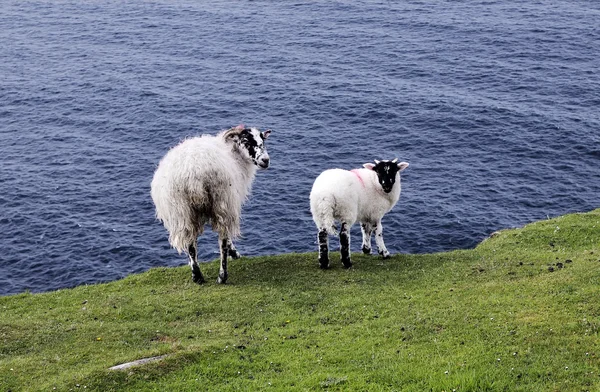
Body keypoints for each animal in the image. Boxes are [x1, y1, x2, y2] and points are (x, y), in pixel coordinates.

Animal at [150, 124, 272, 284]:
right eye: (246, 141)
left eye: (263, 140)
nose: (266, 160)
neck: (235, 155)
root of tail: (192, 174)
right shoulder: (230, 204)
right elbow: (227, 240)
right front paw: (235, 254)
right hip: (222, 202)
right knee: (223, 241)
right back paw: (222, 276)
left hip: (181, 211)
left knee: (190, 244)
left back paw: (197, 275)